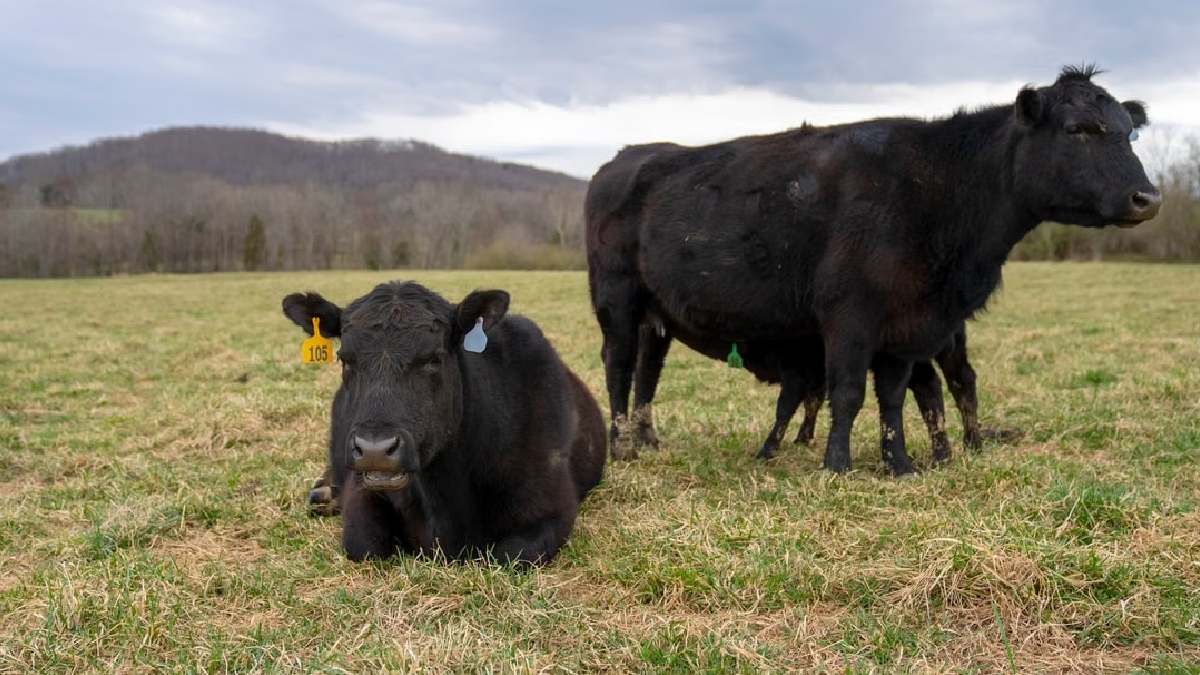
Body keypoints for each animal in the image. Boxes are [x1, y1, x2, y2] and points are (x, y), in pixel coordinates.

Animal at [283, 281, 606, 565]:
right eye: (344, 359)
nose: (375, 449)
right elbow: (364, 546)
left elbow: (509, 557)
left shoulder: (552, 509)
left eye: (434, 358)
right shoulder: (362, 490)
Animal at [587, 65, 1160, 476]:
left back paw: (647, 440)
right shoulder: (849, 315)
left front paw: (899, 464)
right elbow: (848, 391)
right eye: (1076, 130)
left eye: (1130, 134)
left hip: (656, 315)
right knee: (618, 368)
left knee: (647, 374)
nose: (1147, 198)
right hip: (616, 301)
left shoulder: (909, 327)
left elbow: (893, 396)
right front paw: (837, 466)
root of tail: (624, 157)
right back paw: (621, 450)